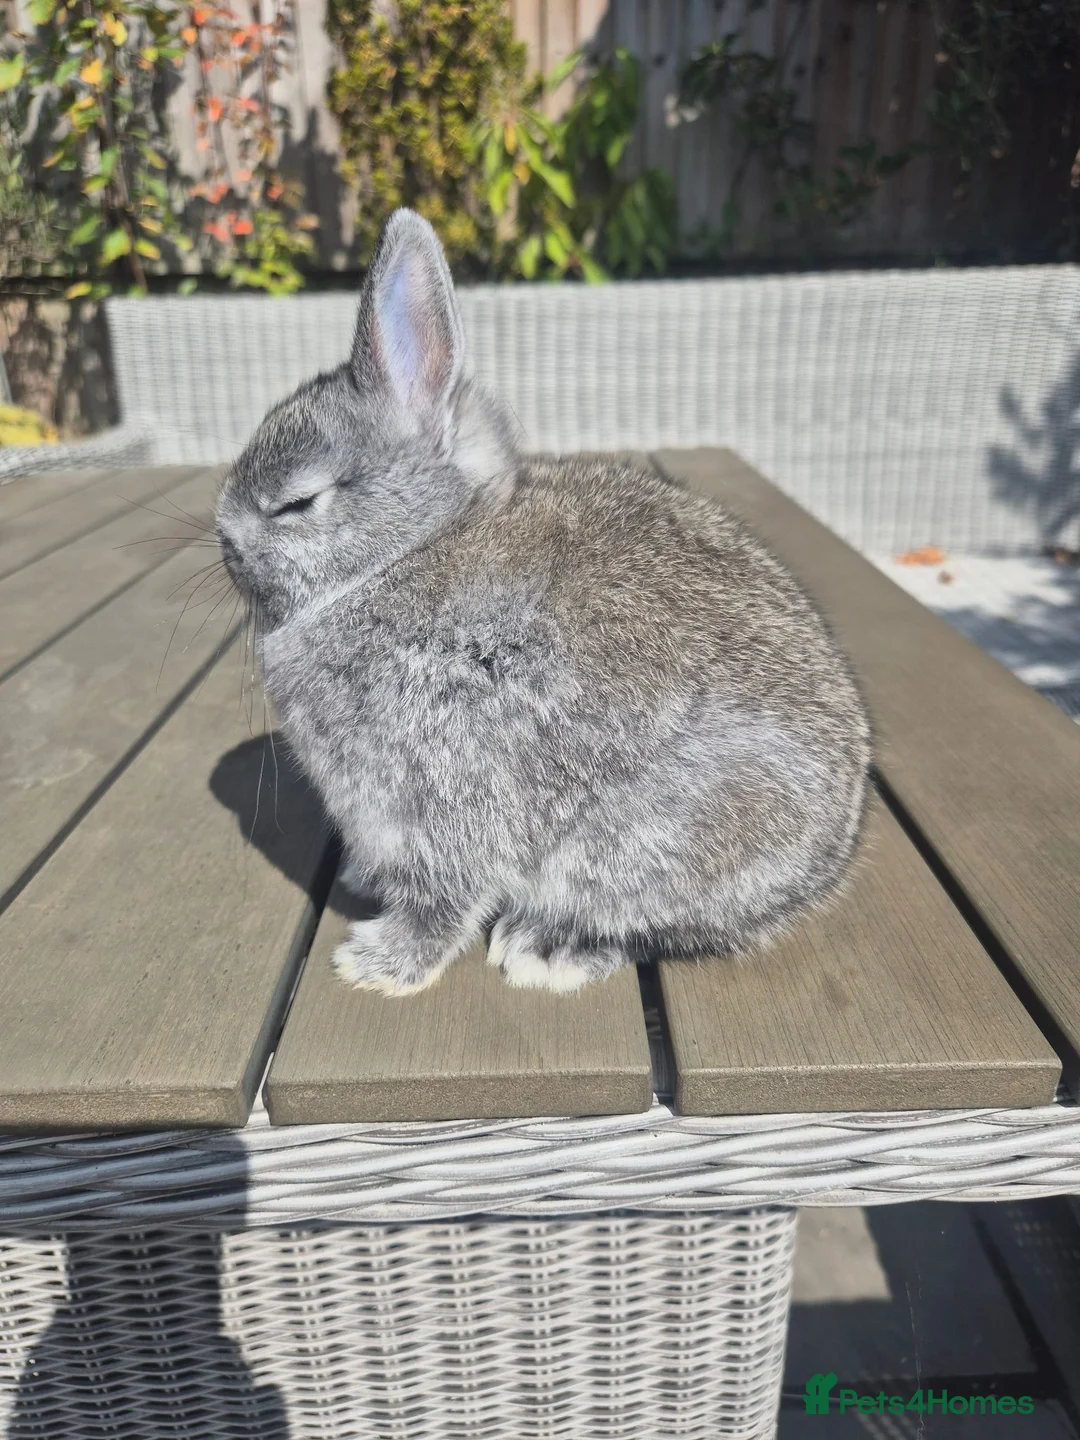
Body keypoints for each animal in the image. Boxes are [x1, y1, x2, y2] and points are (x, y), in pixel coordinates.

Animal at [216, 208, 871, 997]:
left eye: (296, 503)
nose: (223, 542)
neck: (400, 555)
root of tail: (829, 860)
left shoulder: (448, 791)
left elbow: (445, 897)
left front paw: (378, 965)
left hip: (649, 842)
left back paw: (546, 947)